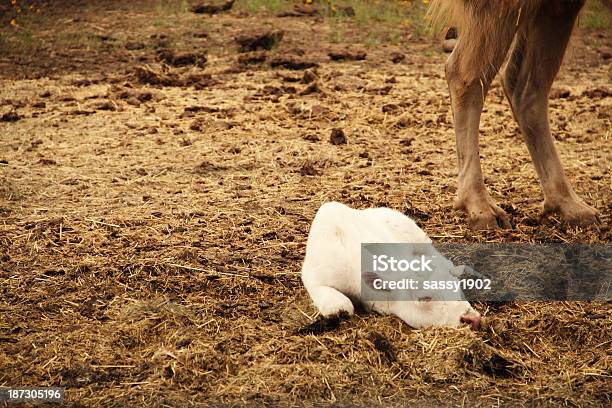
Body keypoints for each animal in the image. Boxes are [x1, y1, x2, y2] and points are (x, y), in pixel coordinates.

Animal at [302, 202, 482, 330]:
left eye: (456, 286)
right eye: (424, 298)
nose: (473, 318)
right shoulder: (313, 276)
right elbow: (341, 307)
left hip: (420, 239)